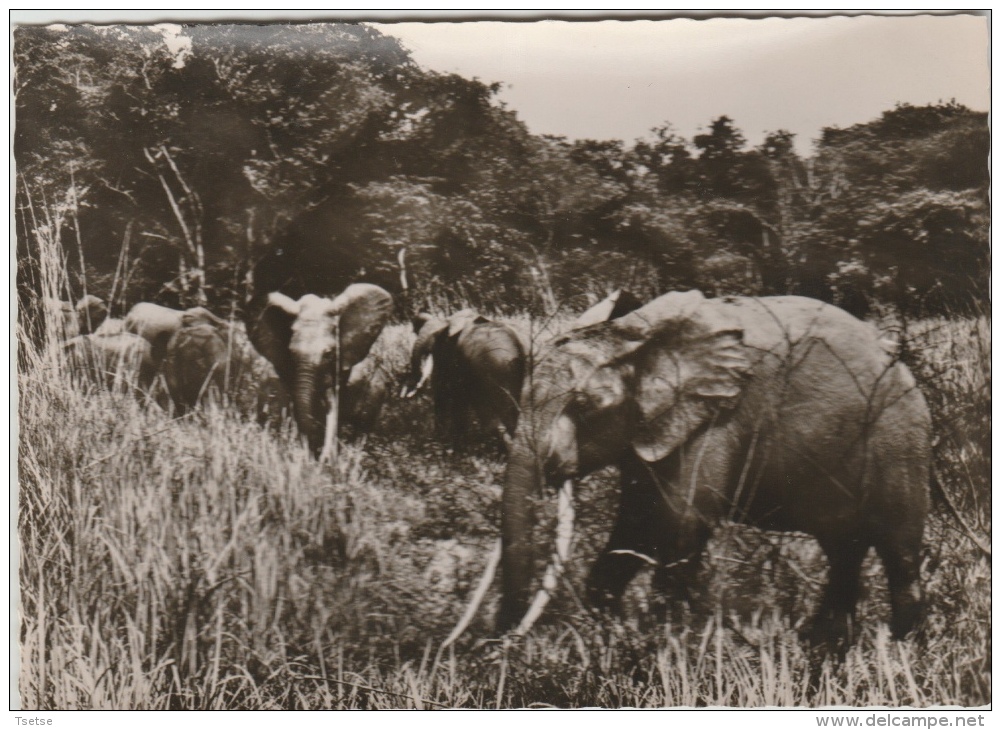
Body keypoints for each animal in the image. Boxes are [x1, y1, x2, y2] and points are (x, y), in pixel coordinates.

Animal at [400, 308, 528, 450]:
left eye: (437, 337)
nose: (405, 393)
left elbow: (445, 394)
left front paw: (445, 446)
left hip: (486, 374)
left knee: (490, 419)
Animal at [494, 288, 928, 644]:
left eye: (584, 406)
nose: (502, 642)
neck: (638, 335)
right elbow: (634, 525)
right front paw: (610, 635)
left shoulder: (719, 417)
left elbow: (681, 523)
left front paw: (663, 643)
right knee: (844, 552)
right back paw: (824, 646)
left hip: (899, 441)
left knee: (899, 555)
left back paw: (899, 646)